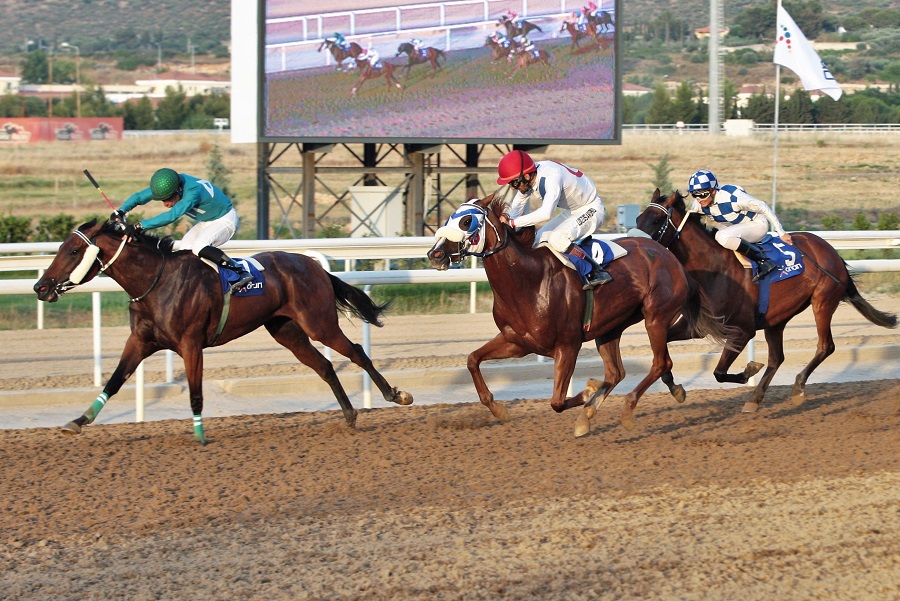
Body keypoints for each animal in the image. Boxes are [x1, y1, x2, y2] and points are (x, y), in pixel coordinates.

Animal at [33, 218, 414, 442]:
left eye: (74, 250)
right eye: (61, 247)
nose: (40, 286)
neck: (156, 280)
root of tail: (314, 266)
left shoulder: (190, 344)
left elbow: (195, 393)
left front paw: (200, 436)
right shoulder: (141, 341)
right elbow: (113, 381)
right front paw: (78, 420)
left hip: (318, 323)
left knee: (357, 353)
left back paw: (396, 395)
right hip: (286, 330)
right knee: (324, 366)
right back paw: (349, 415)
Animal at [426, 195, 736, 434]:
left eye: (466, 221)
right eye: (451, 217)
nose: (434, 254)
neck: (528, 281)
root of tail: (671, 257)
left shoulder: (568, 345)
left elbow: (556, 401)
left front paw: (587, 392)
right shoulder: (517, 342)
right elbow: (472, 359)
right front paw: (498, 409)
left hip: (655, 317)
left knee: (660, 363)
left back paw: (626, 409)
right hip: (610, 328)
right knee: (617, 372)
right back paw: (595, 412)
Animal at [636, 189, 896, 412]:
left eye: (656, 220)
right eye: (639, 219)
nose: (641, 248)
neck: (715, 269)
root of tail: (830, 250)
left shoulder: (742, 331)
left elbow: (719, 372)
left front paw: (749, 369)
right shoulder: (696, 326)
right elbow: (663, 352)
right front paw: (675, 388)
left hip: (823, 301)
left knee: (825, 346)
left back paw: (798, 387)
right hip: (776, 319)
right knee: (777, 358)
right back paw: (755, 398)